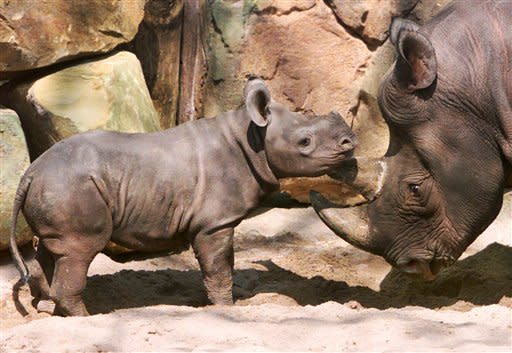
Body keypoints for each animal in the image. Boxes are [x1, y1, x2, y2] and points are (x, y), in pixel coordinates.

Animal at [11, 78, 356, 314]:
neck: (252, 136)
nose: (350, 142)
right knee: (80, 250)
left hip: (56, 186)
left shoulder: (215, 220)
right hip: (71, 186)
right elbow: (219, 268)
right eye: (305, 142)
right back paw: (85, 317)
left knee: (53, 251)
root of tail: (30, 173)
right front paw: (227, 308)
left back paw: (47, 308)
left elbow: (221, 266)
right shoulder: (215, 222)